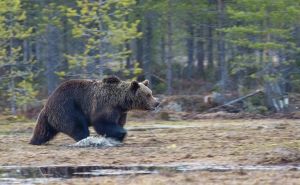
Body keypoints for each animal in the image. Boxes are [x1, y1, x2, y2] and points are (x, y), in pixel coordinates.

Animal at [29, 76, 161, 145]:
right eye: (148, 95)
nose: (157, 102)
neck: (121, 102)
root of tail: (47, 103)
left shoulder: (121, 113)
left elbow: (118, 123)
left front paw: (117, 137)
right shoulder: (105, 106)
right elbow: (103, 123)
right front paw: (121, 134)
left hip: (52, 117)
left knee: (44, 131)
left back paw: (35, 140)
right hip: (67, 108)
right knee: (77, 126)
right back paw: (85, 139)